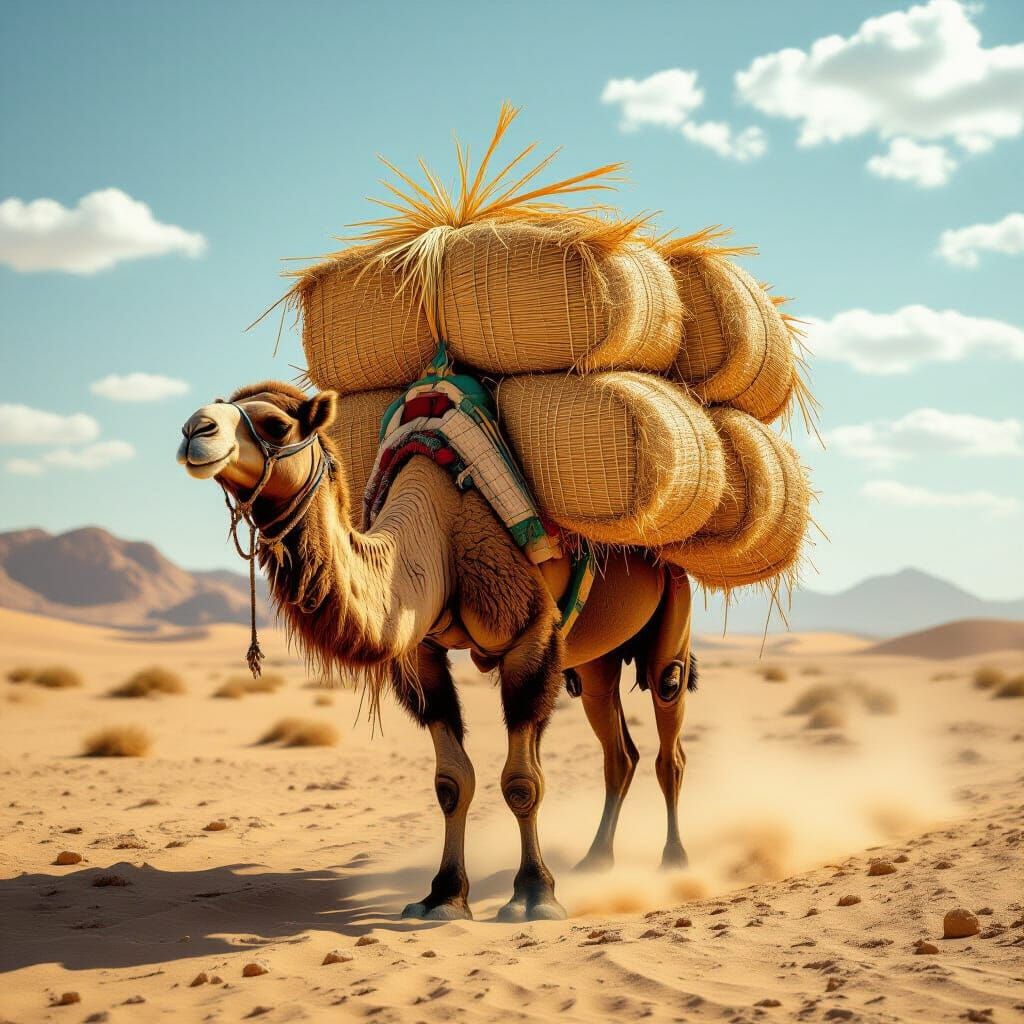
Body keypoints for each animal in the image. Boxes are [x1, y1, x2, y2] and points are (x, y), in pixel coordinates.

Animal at [177, 380, 697, 922]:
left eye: (277, 425)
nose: (194, 430)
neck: (435, 533)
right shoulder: (421, 654)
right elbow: (451, 782)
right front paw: (444, 896)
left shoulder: (530, 635)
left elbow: (522, 781)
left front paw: (534, 894)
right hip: (595, 662)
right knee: (619, 752)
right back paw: (594, 861)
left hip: (675, 605)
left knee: (669, 734)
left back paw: (673, 863)